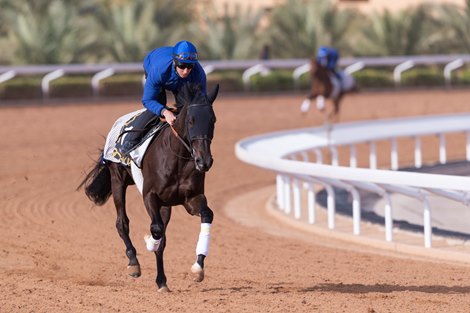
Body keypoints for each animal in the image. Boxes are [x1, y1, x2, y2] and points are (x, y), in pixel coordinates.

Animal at [78, 82, 219, 290]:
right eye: (191, 120)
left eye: (213, 120)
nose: (204, 161)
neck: (177, 157)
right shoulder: (150, 196)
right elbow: (156, 229)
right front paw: (148, 243)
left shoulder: (191, 199)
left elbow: (206, 215)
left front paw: (198, 267)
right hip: (118, 179)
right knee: (122, 222)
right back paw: (133, 263)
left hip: (166, 204)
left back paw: (162, 281)